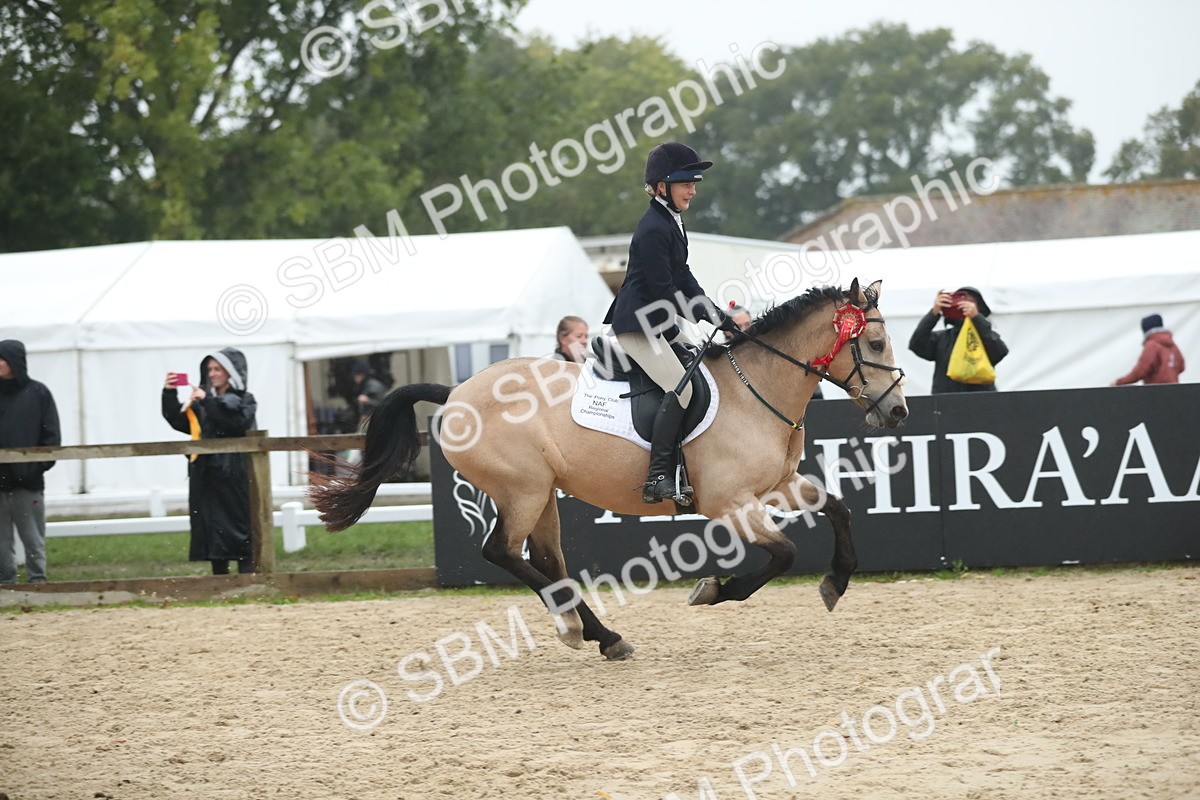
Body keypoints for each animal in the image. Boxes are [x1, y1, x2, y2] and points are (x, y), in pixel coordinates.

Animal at [311, 279, 908, 660]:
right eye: (876, 342)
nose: (898, 411)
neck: (757, 387)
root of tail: (455, 391)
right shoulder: (729, 503)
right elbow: (782, 554)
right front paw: (713, 590)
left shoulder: (778, 485)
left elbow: (838, 507)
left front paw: (836, 581)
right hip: (523, 489)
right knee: (502, 553)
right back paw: (583, 629)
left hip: (541, 493)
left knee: (545, 559)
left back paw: (597, 633)